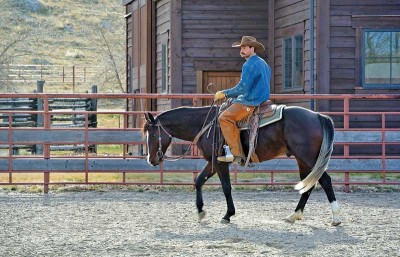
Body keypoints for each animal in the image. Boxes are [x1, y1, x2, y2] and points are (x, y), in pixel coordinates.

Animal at [143, 105, 340, 225]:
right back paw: (294, 215)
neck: (205, 124)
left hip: (309, 158)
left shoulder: (220, 163)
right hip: (302, 160)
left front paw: (228, 214)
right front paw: (200, 211)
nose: (151, 160)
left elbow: (226, 187)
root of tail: (318, 116)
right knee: (308, 185)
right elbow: (198, 181)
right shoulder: (213, 162)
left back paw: (335, 217)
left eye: (152, 135)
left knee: (325, 181)